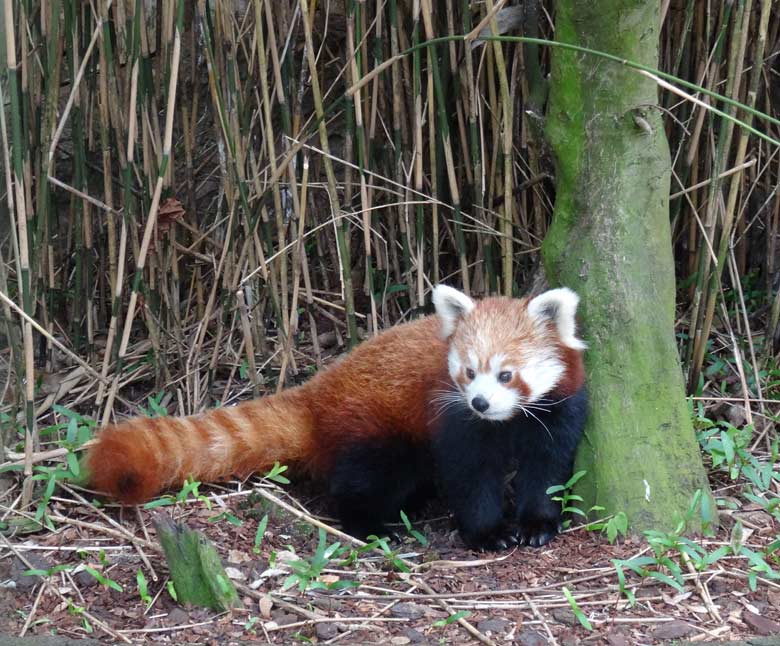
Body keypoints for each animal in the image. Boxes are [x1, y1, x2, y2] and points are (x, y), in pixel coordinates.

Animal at [87, 286, 584, 548]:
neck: (507, 422)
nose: (480, 402)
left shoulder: (557, 410)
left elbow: (547, 469)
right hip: (373, 426)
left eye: (506, 374)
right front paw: (489, 533)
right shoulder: (454, 420)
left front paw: (538, 523)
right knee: (365, 479)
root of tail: (316, 392)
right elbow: (471, 478)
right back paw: (371, 525)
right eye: (468, 372)